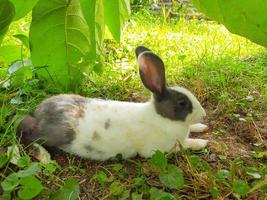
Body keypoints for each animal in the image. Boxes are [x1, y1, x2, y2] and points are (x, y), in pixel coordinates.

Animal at [17, 46, 209, 161]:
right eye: (182, 102)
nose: (203, 114)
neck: (160, 117)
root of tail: (39, 112)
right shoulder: (157, 150)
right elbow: (182, 146)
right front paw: (201, 143)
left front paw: (201, 127)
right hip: (50, 134)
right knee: (23, 133)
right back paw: (44, 156)